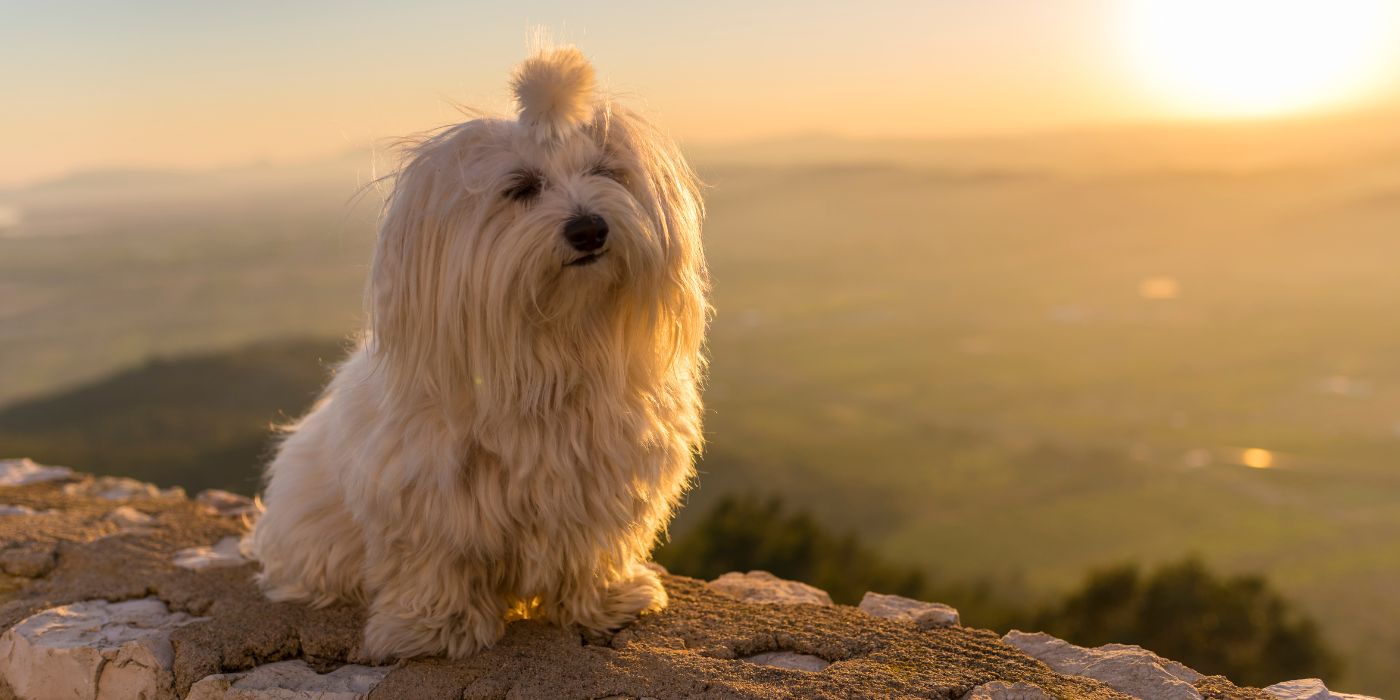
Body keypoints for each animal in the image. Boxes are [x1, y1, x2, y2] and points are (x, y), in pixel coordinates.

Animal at [246, 45, 705, 660]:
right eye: (522, 187)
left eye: (607, 172)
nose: (590, 228)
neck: (552, 344)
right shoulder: (425, 497)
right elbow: (436, 564)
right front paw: (435, 628)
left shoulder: (602, 480)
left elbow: (592, 549)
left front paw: (607, 600)